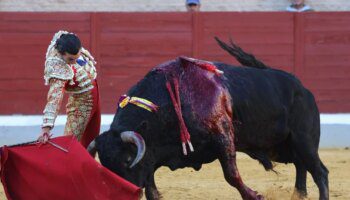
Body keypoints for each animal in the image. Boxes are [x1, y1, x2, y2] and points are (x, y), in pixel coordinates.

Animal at [87, 38, 328, 200]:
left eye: (127, 160)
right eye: (105, 165)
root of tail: (301, 87)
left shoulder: (223, 137)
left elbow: (231, 175)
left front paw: (255, 195)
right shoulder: (156, 152)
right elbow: (149, 181)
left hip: (304, 141)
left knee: (319, 171)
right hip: (283, 147)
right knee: (301, 166)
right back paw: (299, 195)